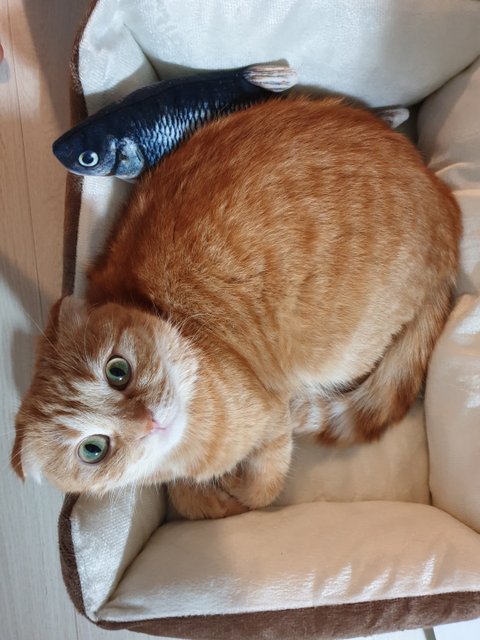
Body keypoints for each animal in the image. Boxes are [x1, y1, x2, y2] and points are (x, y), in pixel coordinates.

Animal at [12, 97, 461, 519]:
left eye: (117, 371)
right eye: (93, 450)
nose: (149, 421)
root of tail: (445, 206)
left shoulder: (273, 419)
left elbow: (260, 492)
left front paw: (232, 490)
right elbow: (187, 500)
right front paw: (206, 494)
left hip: (339, 356)